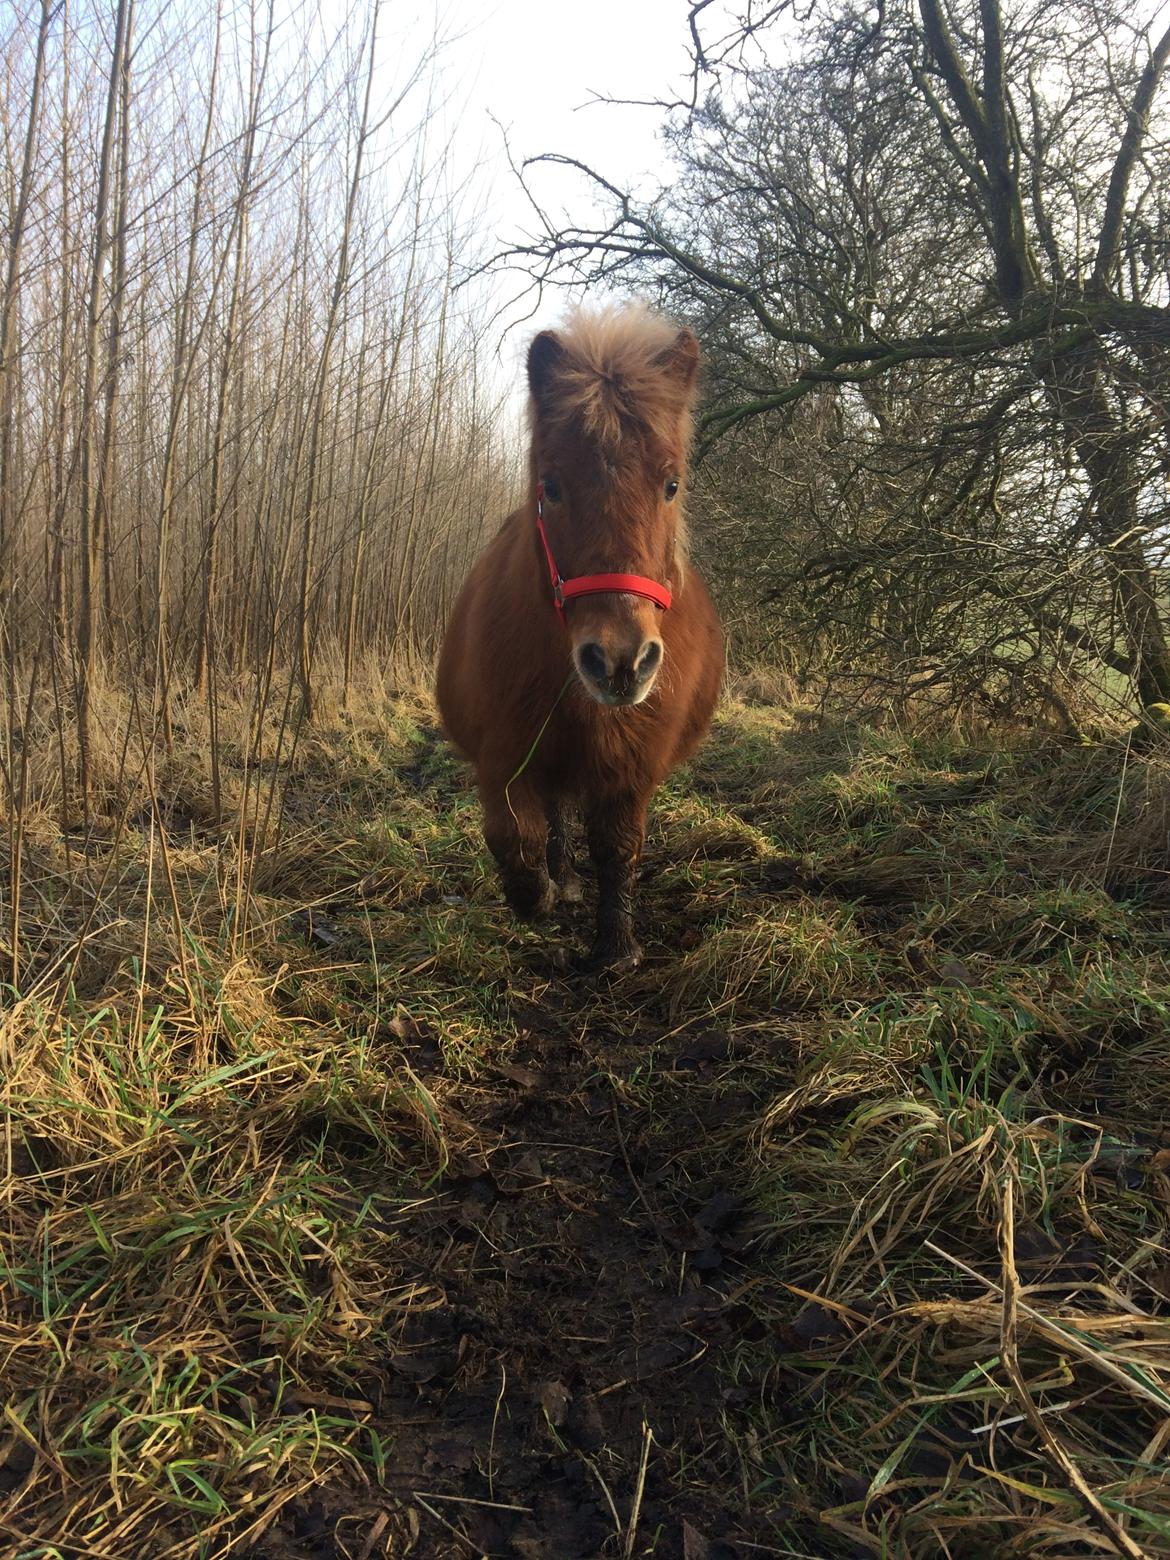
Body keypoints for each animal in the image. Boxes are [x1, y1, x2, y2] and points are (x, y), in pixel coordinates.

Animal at [436, 301, 723, 960]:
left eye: (671, 484)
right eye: (552, 485)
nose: (619, 661)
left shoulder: (631, 768)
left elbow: (617, 847)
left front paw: (616, 948)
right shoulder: (505, 752)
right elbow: (514, 836)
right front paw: (538, 896)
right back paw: (560, 880)